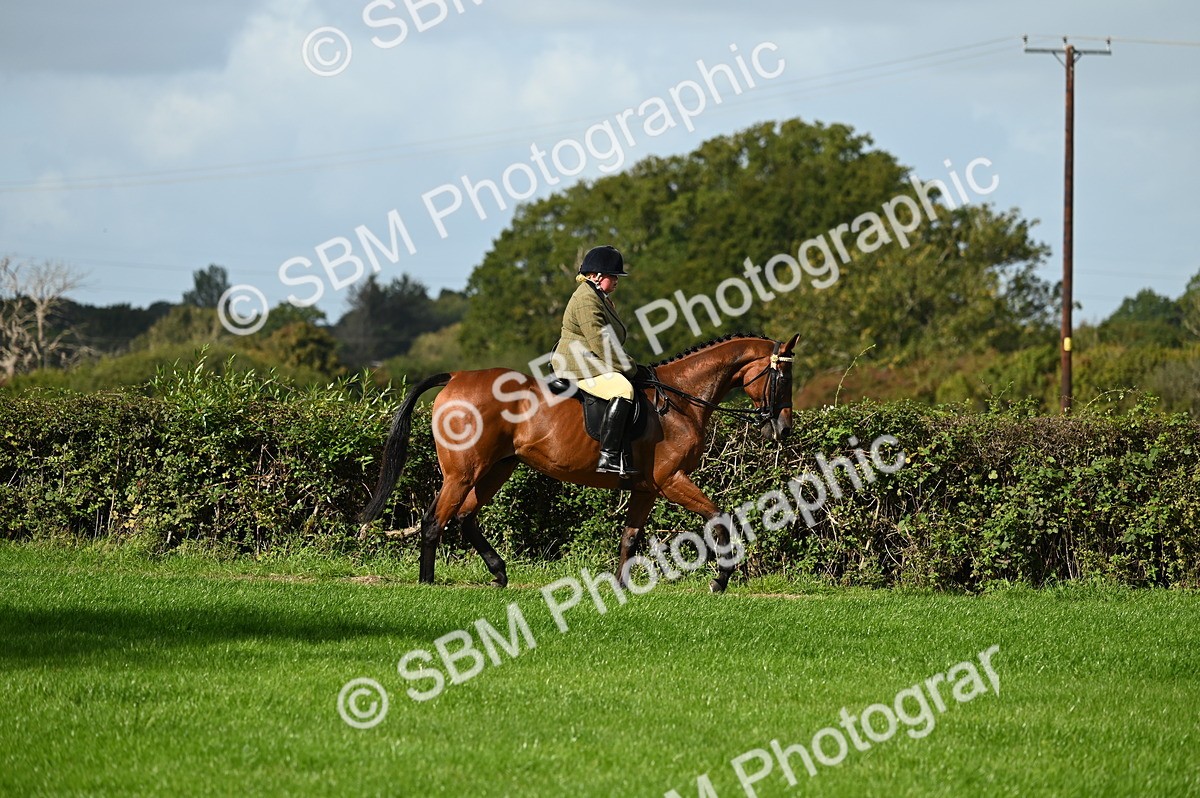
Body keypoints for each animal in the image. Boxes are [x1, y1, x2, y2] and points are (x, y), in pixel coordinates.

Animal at [359, 332, 799, 593]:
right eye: (783, 379)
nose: (782, 428)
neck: (681, 399)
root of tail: (454, 377)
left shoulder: (646, 488)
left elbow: (630, 537)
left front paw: (622, 588)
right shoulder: (672, 479)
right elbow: (719, 518)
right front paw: (721, 580)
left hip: (497, 468)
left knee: (466, 517)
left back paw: (499, 573)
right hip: (463, 471)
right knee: (436, 519)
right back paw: (428, 584)